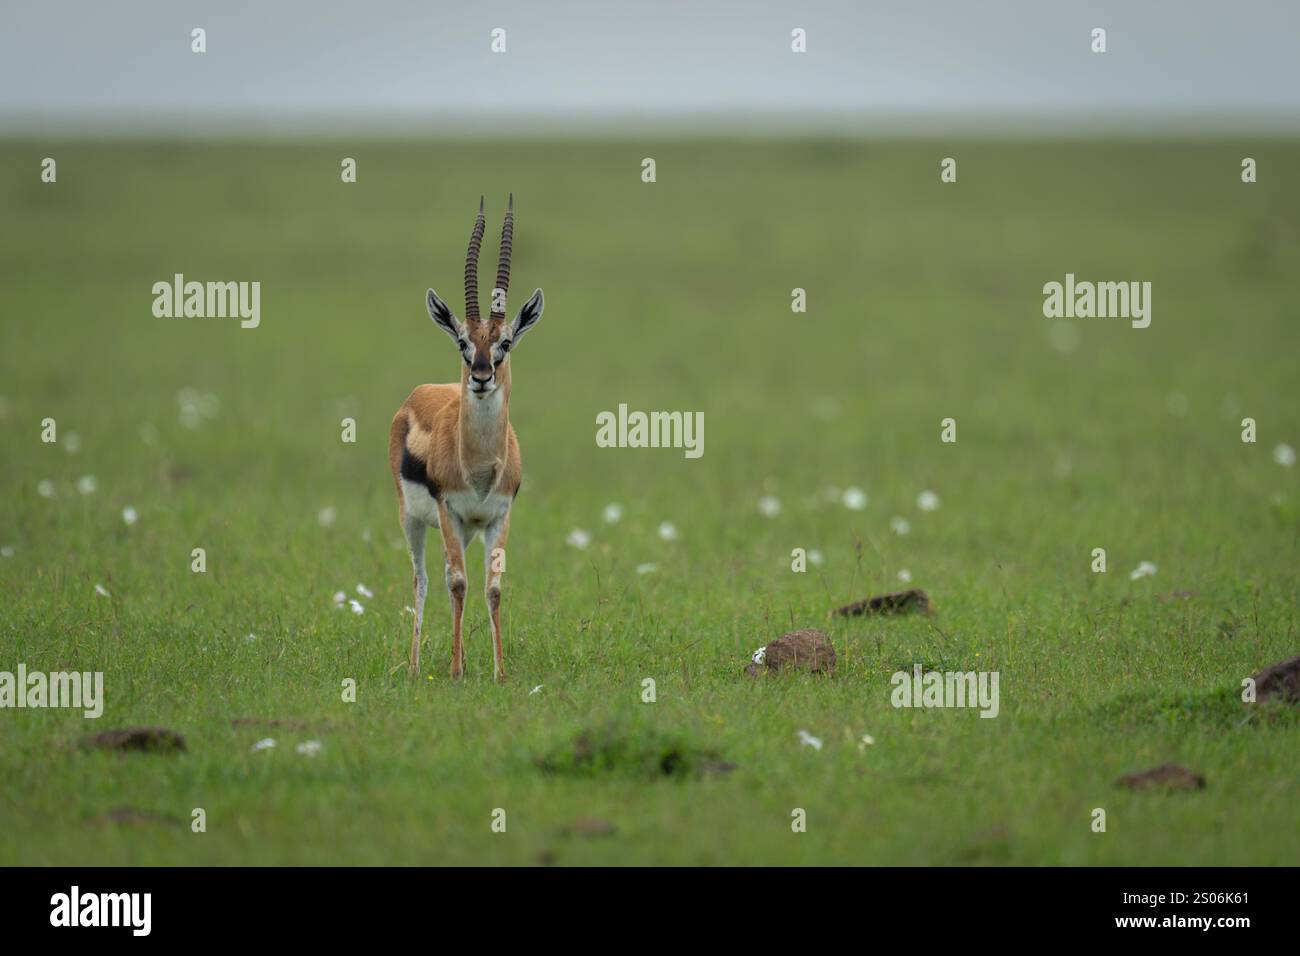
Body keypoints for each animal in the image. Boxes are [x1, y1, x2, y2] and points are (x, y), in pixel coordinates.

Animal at [388, 196, 544, 682]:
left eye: (505, 343)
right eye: (462, 341)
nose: (480, 377)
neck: (477, 465)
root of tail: (419, 393)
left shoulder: (497, 518)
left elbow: (493, 589)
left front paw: (499, 672)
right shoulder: (450, 512)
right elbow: (458, 584)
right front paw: (457, 672)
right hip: (415, 520)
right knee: (422, 579)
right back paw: (415, 666)